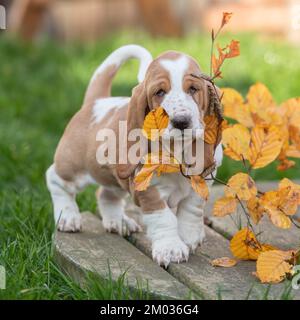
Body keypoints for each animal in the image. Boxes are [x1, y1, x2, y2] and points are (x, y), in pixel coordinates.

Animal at [46, 43, 223, 266]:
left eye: (193, 89)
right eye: (159, 92)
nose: (181, 121)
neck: (176, 152)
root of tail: (96, 101)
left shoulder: (201, 184)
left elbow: (192, 209)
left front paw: (189, 237)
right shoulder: (149, 192)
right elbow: (164, 218)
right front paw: (171, 249)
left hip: (114, 178)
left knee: (105, 194)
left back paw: (118, 222)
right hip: (73, 167)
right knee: (55, 179)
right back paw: (68, 217)